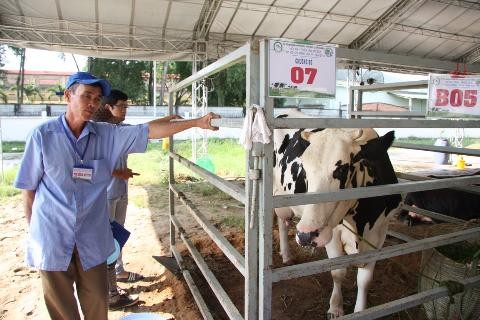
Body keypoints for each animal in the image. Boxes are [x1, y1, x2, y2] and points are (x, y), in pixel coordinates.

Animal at [274, 110, 402, 318]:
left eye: (342, 169)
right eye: (305, 169)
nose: (306, 235)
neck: (361, 223)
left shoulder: (380, 232)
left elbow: (365, 280)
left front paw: (360, 310)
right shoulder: (331, 232)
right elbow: (338, 272)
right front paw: (335, 307)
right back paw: (286, 254)